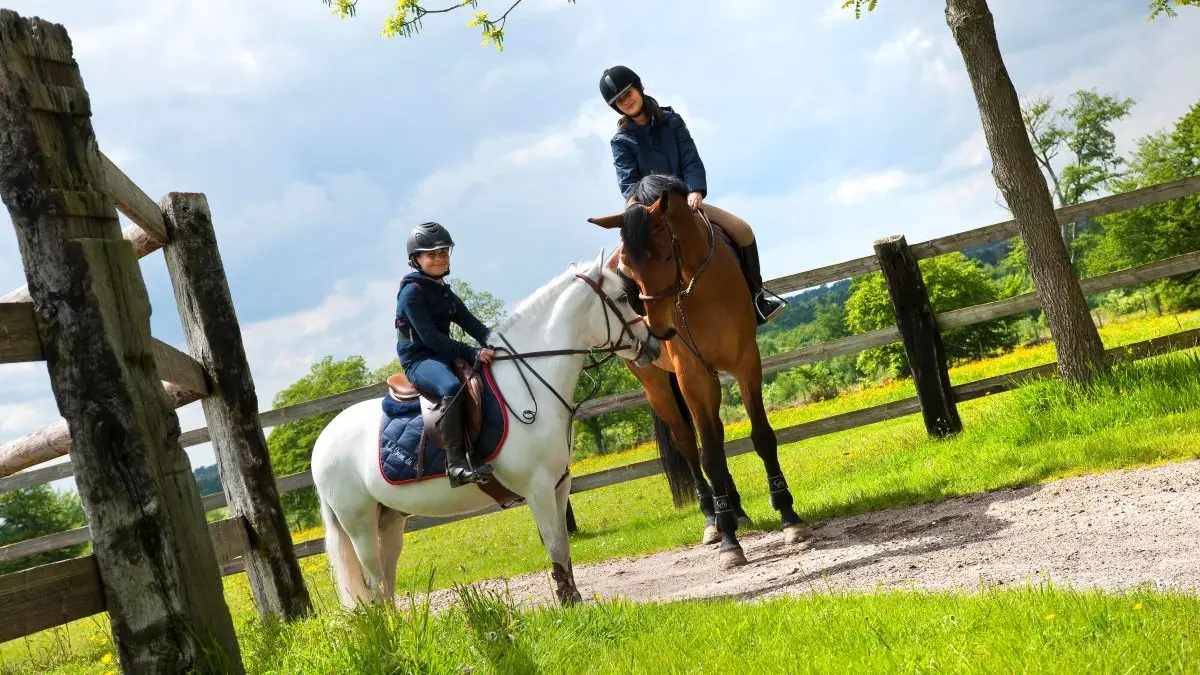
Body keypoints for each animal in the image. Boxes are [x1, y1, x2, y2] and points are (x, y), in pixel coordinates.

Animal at [309, 249, 662, 607]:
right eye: (622, 297)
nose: (654, 346)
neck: (528, 381)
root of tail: (323, 439)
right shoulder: (538, 488)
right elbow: (555, 545)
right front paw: (569, 603)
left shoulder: (560, 485)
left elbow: (563, 546)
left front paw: (572, 599)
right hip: (359, 523)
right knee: (375, 583)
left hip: (390, 520)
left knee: (386, 579)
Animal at [588, 172, 811, 566]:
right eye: (626, 269)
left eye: (665, 254)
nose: (659, 330)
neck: (697, 287)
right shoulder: (691, 376)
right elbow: (707, 455)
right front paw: (728, 540)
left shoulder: (745, 361)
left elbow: (761, 437)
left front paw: (789, 516)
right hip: (659, 386)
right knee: (689, 445)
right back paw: (713, 519)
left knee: (716, 437)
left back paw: (736, 511)